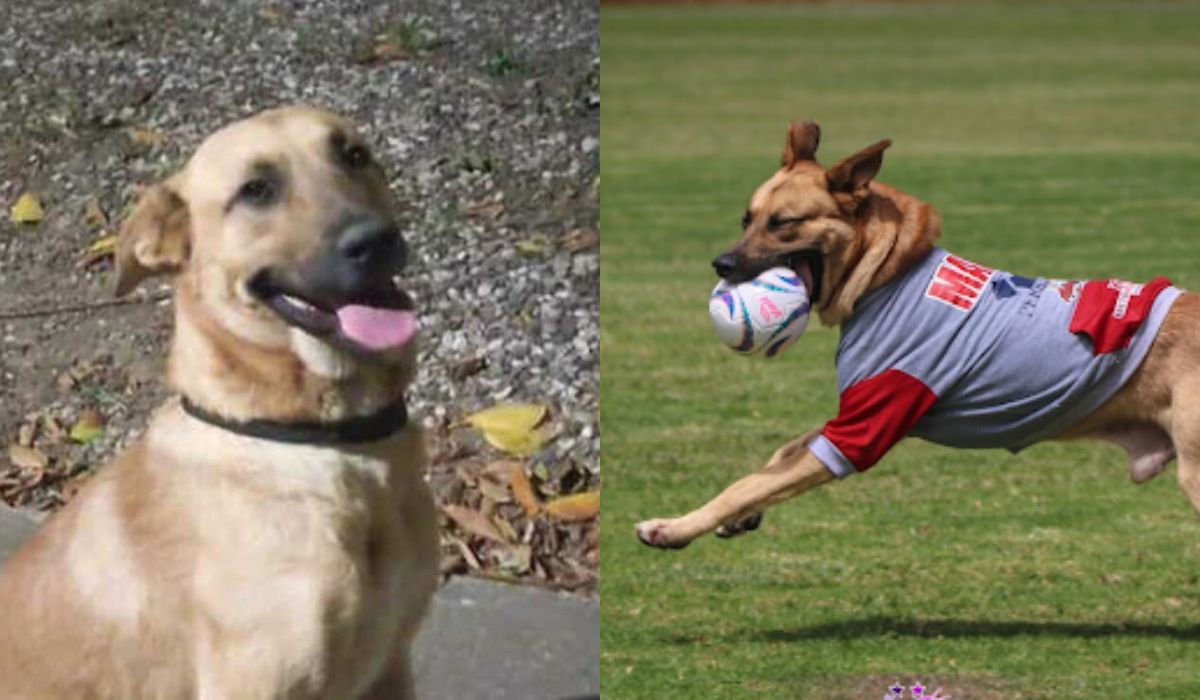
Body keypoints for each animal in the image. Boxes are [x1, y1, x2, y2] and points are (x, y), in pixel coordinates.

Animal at [633, 121, 1195, 552]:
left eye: (784, 223)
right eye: (746, 218)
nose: (722, 265)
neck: (887, 275)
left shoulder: (864, 427)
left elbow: (745, 483)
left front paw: (673, 527)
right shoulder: (857, 413)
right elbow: (779, 457)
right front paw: (739, 518)